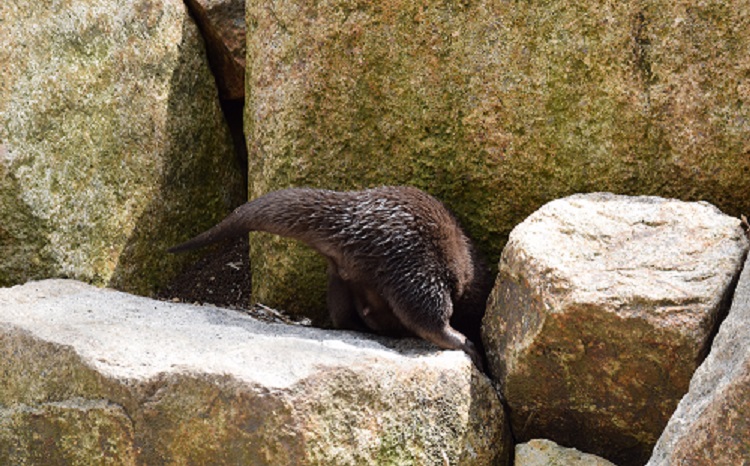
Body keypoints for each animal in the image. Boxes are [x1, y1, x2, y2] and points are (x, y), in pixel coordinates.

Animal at [172, 186, 500, 368]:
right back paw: (465, 343)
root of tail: (353, 218)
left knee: (347, 314)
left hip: (342, 277)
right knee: (427, 317)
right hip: (416, 265)